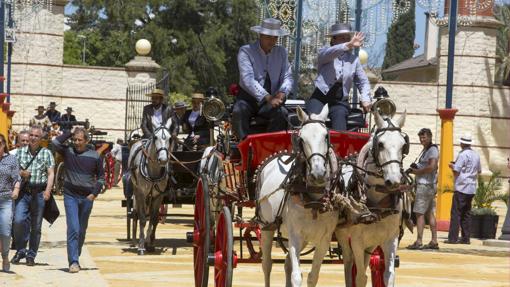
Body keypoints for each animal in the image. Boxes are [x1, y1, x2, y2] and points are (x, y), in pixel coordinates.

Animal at [128, 118, 172, 255]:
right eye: (155, 137)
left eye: (170, 138)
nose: (163, 159)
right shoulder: (142, 193)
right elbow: (142, 219)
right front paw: (141, 246)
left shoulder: (159, 196)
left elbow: (153, 219)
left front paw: (150, 244)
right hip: (136, 191)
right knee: (136, 214)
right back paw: (135, 241)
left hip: (151, 196)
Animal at [256, 106, 340, 287]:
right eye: (301, 138)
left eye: (326, 136)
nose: (317, 173)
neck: (313, 201)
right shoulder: (295, 235)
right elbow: (296, 276)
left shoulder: (324, 240)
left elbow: (313, 277)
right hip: (265, 226)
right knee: (267, 265)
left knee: (287, 263)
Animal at [336, 111, 408, 287]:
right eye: (380, 144)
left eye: (404, 145)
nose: (394, 180)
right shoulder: (356, 240)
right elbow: (360, 277)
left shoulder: (390, 239)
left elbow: (388, 275)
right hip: (344, 237)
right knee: (349, 264)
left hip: (372, 242)